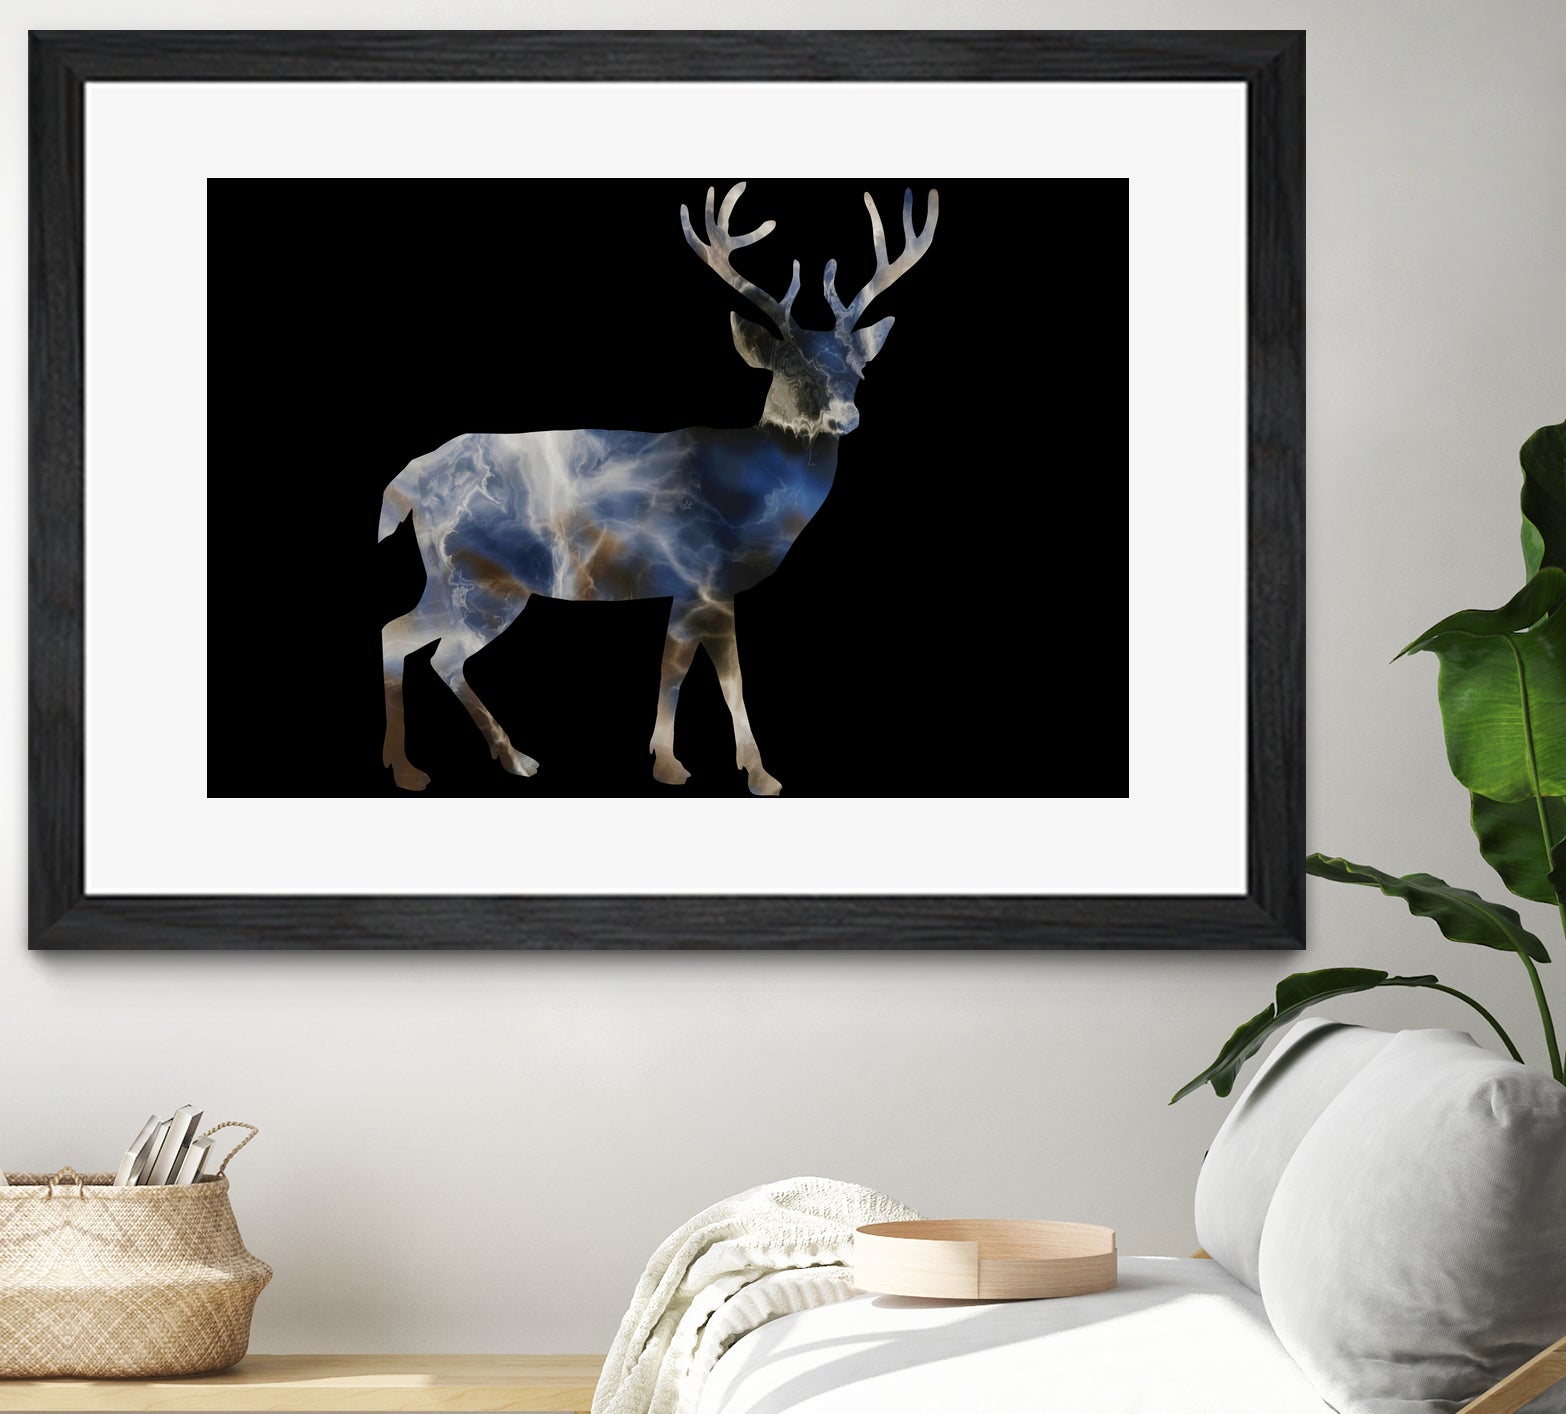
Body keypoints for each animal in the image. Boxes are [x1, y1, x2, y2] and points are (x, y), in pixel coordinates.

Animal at [377, 181, 938, 796]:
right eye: (791, 369)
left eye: (858, 372)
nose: (847, 417)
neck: (753, 494)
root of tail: (409, 481)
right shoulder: (707, 577)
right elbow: (721, 677)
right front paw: (751, 772)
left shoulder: (688, 588)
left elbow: (675, 668)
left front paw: (670, 760)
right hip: (479, 578)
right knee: (429, 648)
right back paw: (445, 764)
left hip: (453, 577)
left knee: (410, 640)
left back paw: (476, 759)